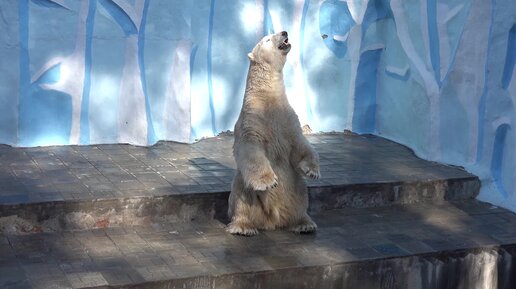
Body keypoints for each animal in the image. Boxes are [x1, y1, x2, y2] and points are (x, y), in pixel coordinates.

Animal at [228, 31, 320, 236]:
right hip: (244, 189)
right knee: (241, 197)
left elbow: (300, 144)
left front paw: (313, 171)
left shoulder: (287, 120)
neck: (267, 98)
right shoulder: (253, 121)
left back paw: (304, 224)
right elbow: (251, 149)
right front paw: (268, 182)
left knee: (301, 198)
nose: (284, 32)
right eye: (268, 39)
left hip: (295, 189)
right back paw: (243, 227)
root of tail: (272, 222)